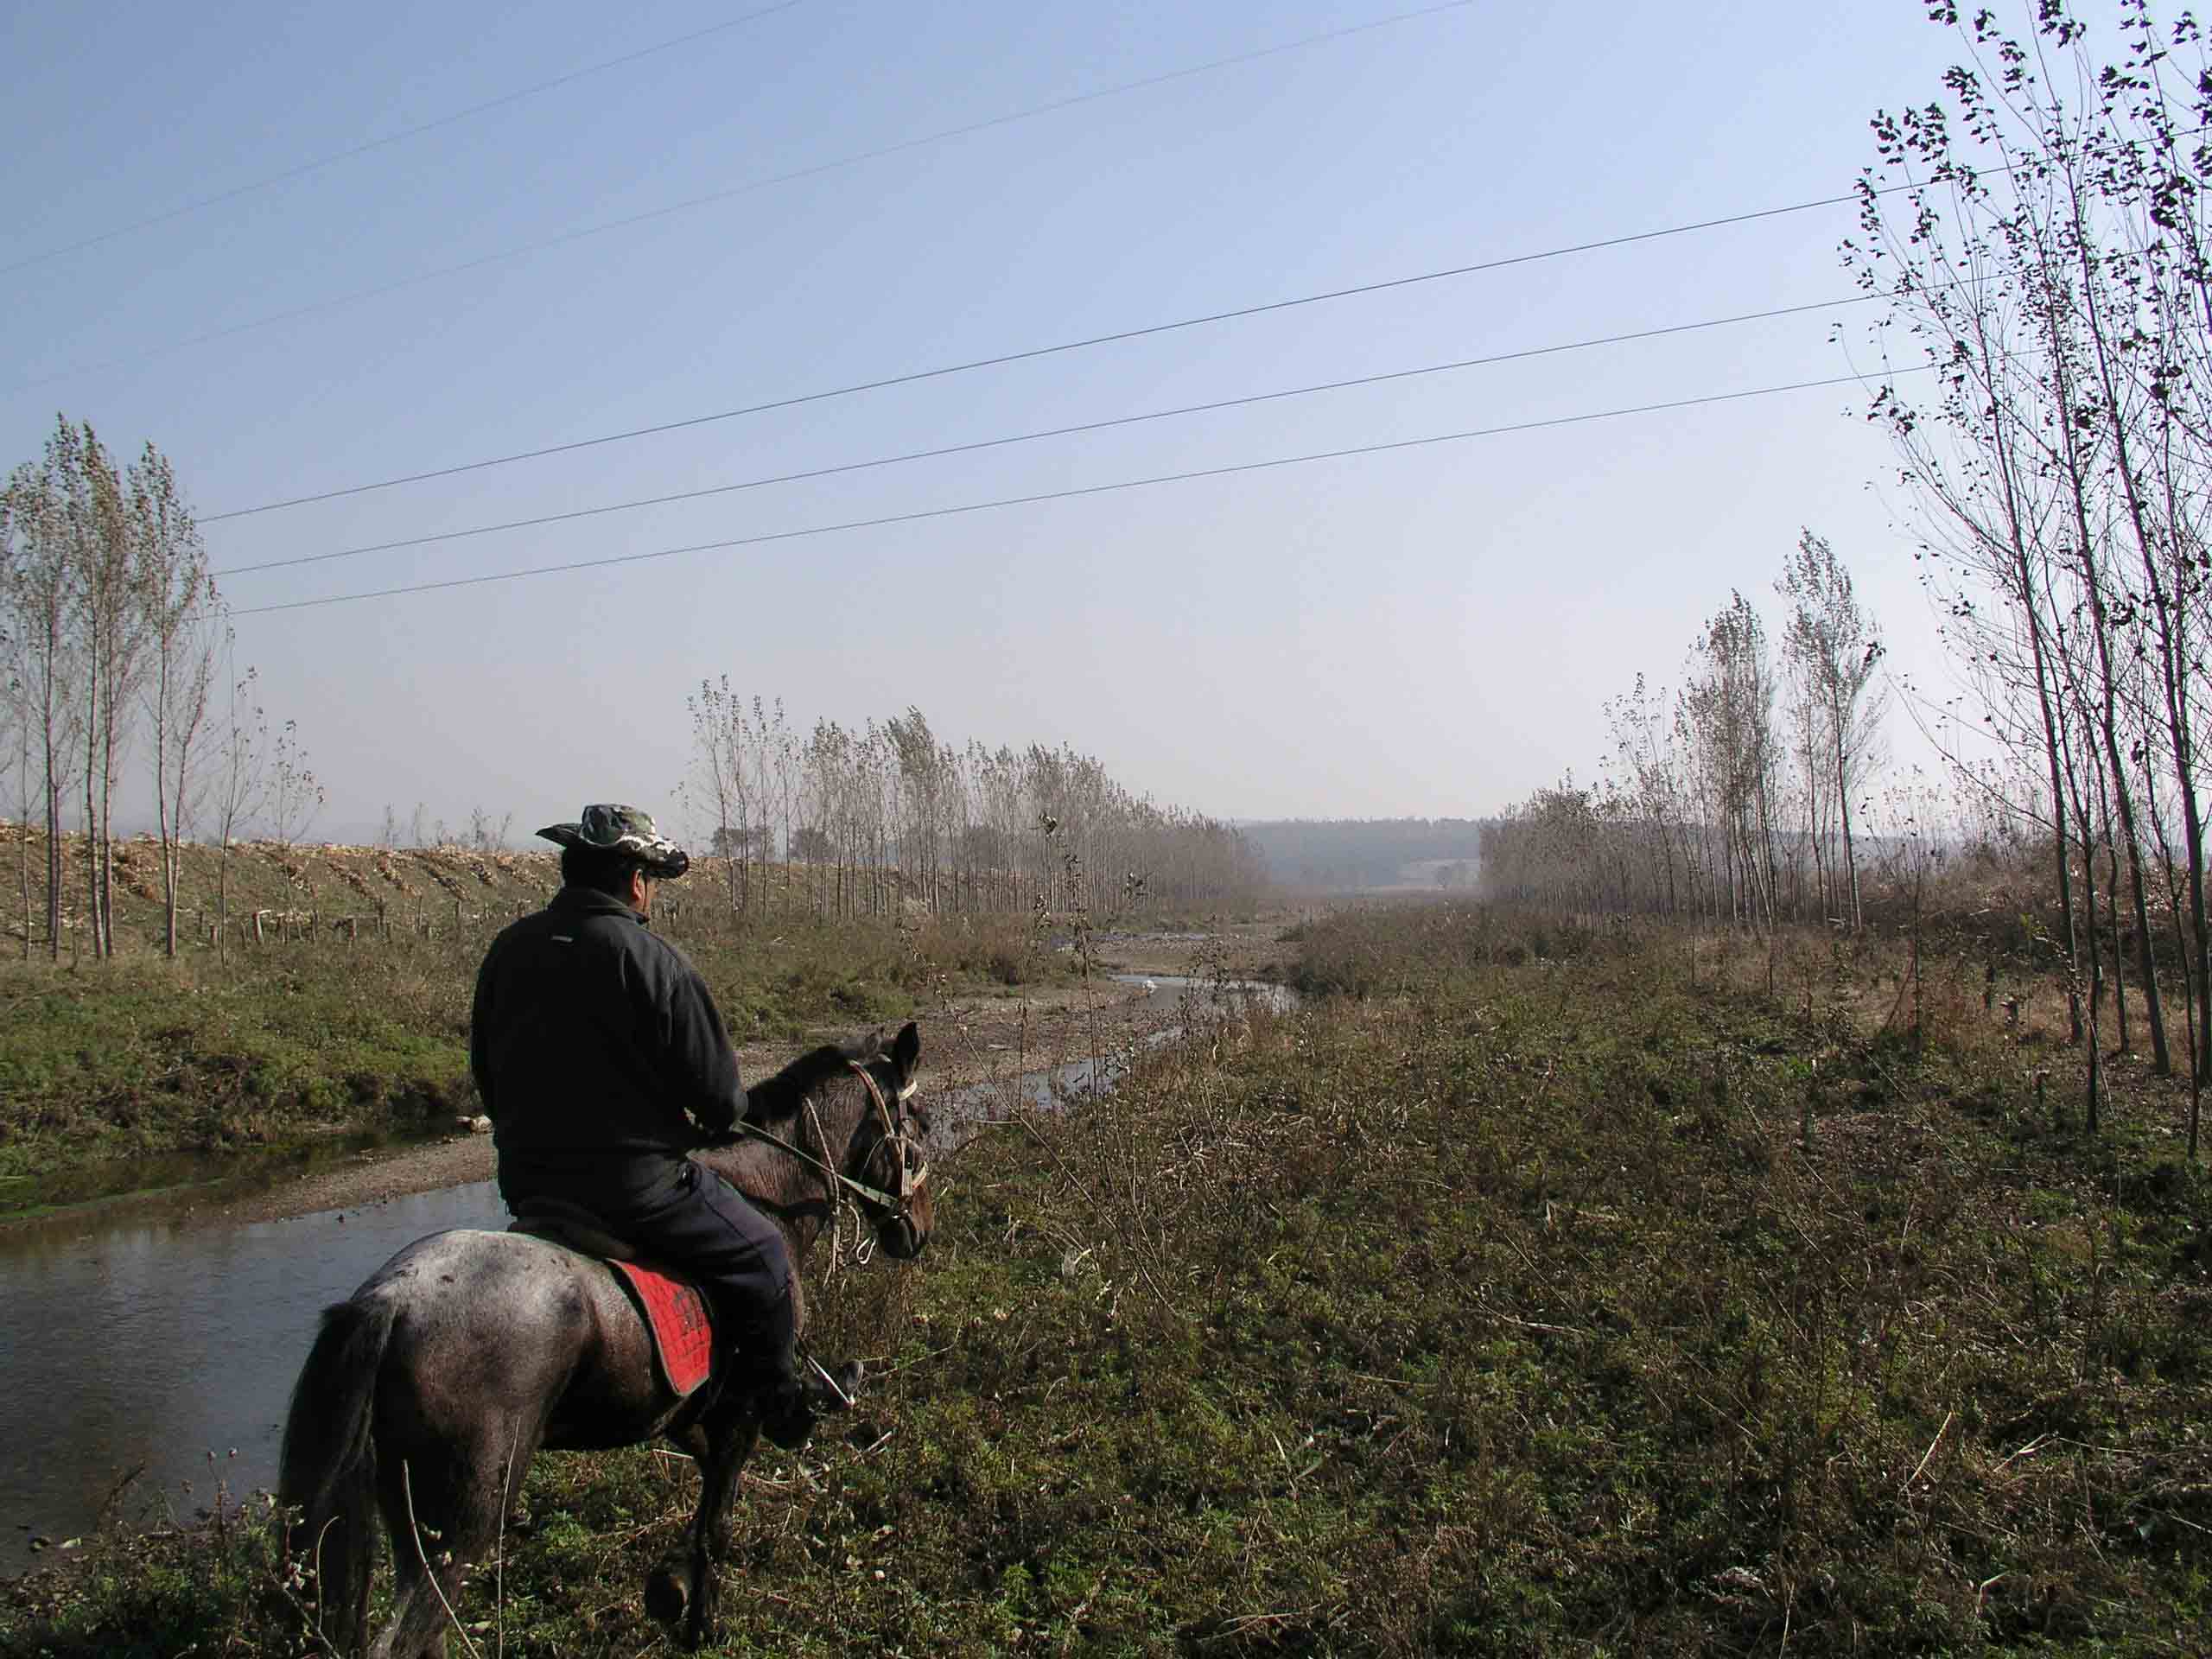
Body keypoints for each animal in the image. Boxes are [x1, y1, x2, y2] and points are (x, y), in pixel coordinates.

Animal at [278, 1021, 933, 1654]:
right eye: (920, 1127)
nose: (918, 1232)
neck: (767, 1189)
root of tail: (389, 1303)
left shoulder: (692, 1411)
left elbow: (702, 1505)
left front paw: (671, 1586)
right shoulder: (740, 1413)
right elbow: (717, 1524)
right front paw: (703, 1625)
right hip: (462, 1521)